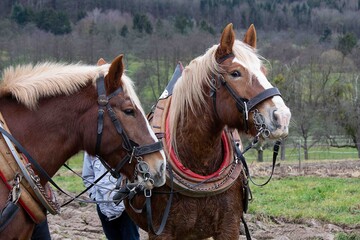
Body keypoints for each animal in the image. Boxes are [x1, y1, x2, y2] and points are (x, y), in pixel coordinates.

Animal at [125, 23, 292, 239]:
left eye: (263, 70)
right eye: (235, 73)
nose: (282, 117)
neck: (200, 161)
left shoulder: (229, 226)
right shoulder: (161, 232)